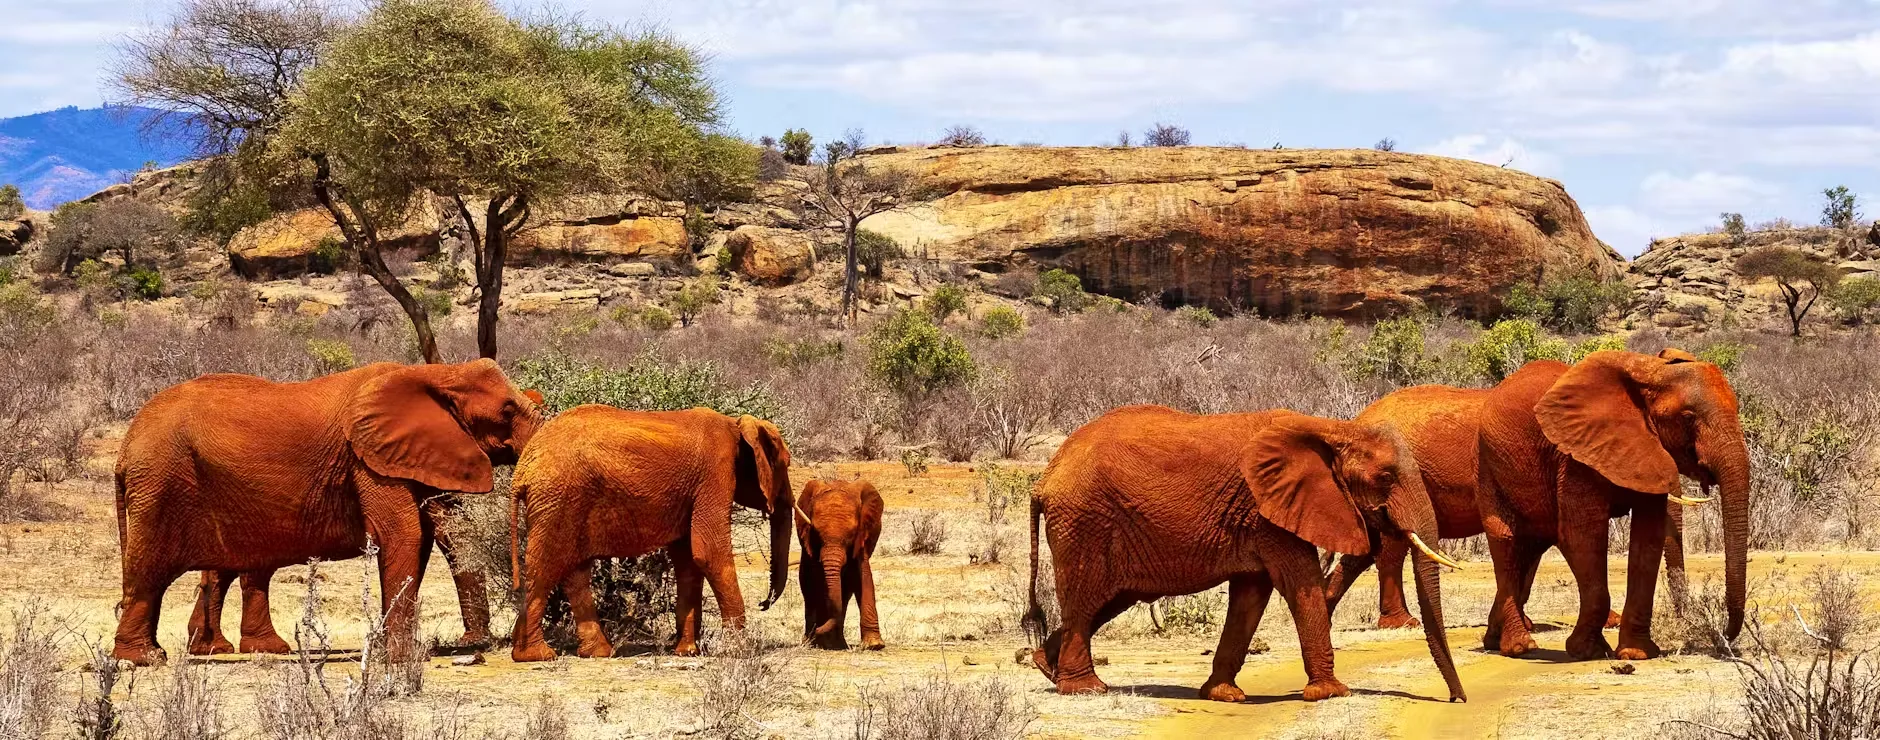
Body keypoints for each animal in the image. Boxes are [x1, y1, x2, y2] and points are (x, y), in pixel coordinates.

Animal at [113, 359, 543, 666]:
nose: (475, 644)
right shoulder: (366, 460)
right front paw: (402, 660)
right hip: (160, 482)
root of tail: (125, 447)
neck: (437, 372)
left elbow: (438, 529)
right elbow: (404, 534)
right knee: (149, 570)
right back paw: (145, 659)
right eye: (507, 410)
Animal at [508, 406, 793, 662]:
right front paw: (741, 651)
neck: (736, 425)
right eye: (786, 464)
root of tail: (522, 470)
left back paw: (595, 653)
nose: (763, 603)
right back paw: (537, 655)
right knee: (545, 567)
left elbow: (688, 561)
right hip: (558, 497)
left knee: (574, 572)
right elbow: (708, 552)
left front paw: (687, 652)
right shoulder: (715, 473)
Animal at [795, 479, 885, 651]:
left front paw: (874, 645)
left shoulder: (862, 537)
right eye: (816, 533)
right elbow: (816, 580)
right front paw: (820, 641)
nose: (817, 629)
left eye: (851, 534)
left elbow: (863, 576)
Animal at [1023, 405, 1466, 703]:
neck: (1334, 429)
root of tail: (1045, 478)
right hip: (1084, 521)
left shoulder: (1261, 514)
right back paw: (1085, 689)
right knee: (1085, 601)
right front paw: (1332, 693)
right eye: (1386, 478)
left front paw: (1223, 695)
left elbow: (1251, 596)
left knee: (1108, 601)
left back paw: (1047, 668)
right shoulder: (1267, 508)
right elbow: (1299, 583)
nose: (1456, 699)